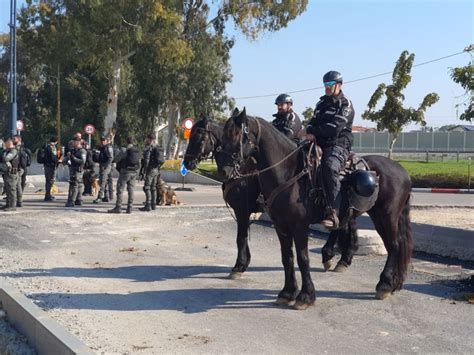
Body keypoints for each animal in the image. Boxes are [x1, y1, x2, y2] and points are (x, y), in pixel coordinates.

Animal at [183, 117, 262, 280]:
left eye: (200, 138)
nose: (187, 162)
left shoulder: (242, 211)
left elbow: (241, 238)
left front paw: (238, 266)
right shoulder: (242, 213)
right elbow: (243, 237)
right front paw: (244, 263)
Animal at [218, 109, 412, 312]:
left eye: (237, 135)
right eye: (223, 136)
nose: (223, 171)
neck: (288, 173)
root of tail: (402, 171)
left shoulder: (297, 226)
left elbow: (303, 259)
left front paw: (305, 296)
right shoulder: (281, 226)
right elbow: (287, 257)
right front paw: (287, 293)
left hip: (387, 216)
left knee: (395, 246)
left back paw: (384, 285)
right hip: (376, 215)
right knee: (391, 245)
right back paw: (390, 282)